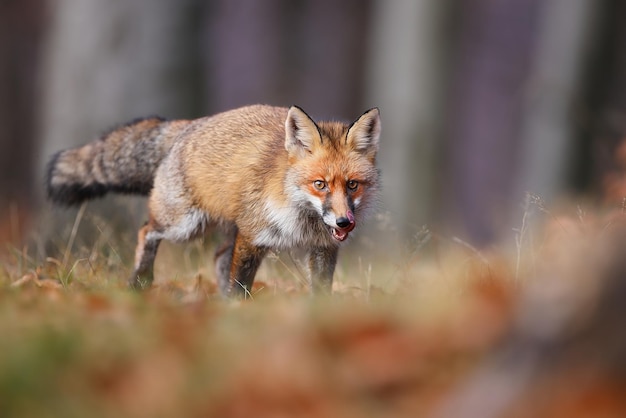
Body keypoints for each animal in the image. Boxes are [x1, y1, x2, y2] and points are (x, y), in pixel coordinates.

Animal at [46, 104, 378, 298]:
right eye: (319, 184)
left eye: (352, 185)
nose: (343, 222)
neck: (302, 219)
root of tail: (190, 124)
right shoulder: (252, 236)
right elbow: (240, 283)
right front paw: (237, 311)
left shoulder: (323, 248)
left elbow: (321, 292)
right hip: (185, 225)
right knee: (146, 230)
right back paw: (141, 280)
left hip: (220, 227)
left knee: (218, 257)